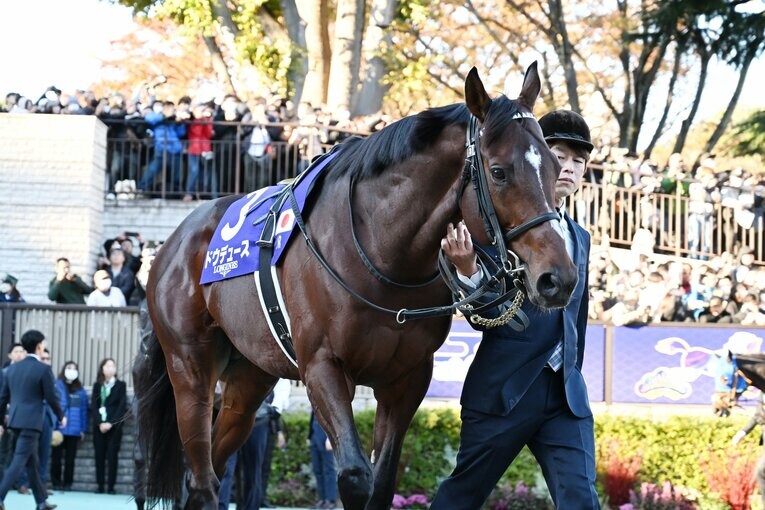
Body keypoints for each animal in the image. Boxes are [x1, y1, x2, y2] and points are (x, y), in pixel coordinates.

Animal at [136, 62, 578, 510]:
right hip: (189, 367)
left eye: (555, 167)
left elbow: (382, 481)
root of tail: (175, 240)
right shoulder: (322, 366)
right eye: (499, 172)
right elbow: (353, 475)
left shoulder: (406, 378)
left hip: (250, 375)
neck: (382, 254)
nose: (558, 278)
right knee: (202, 476)